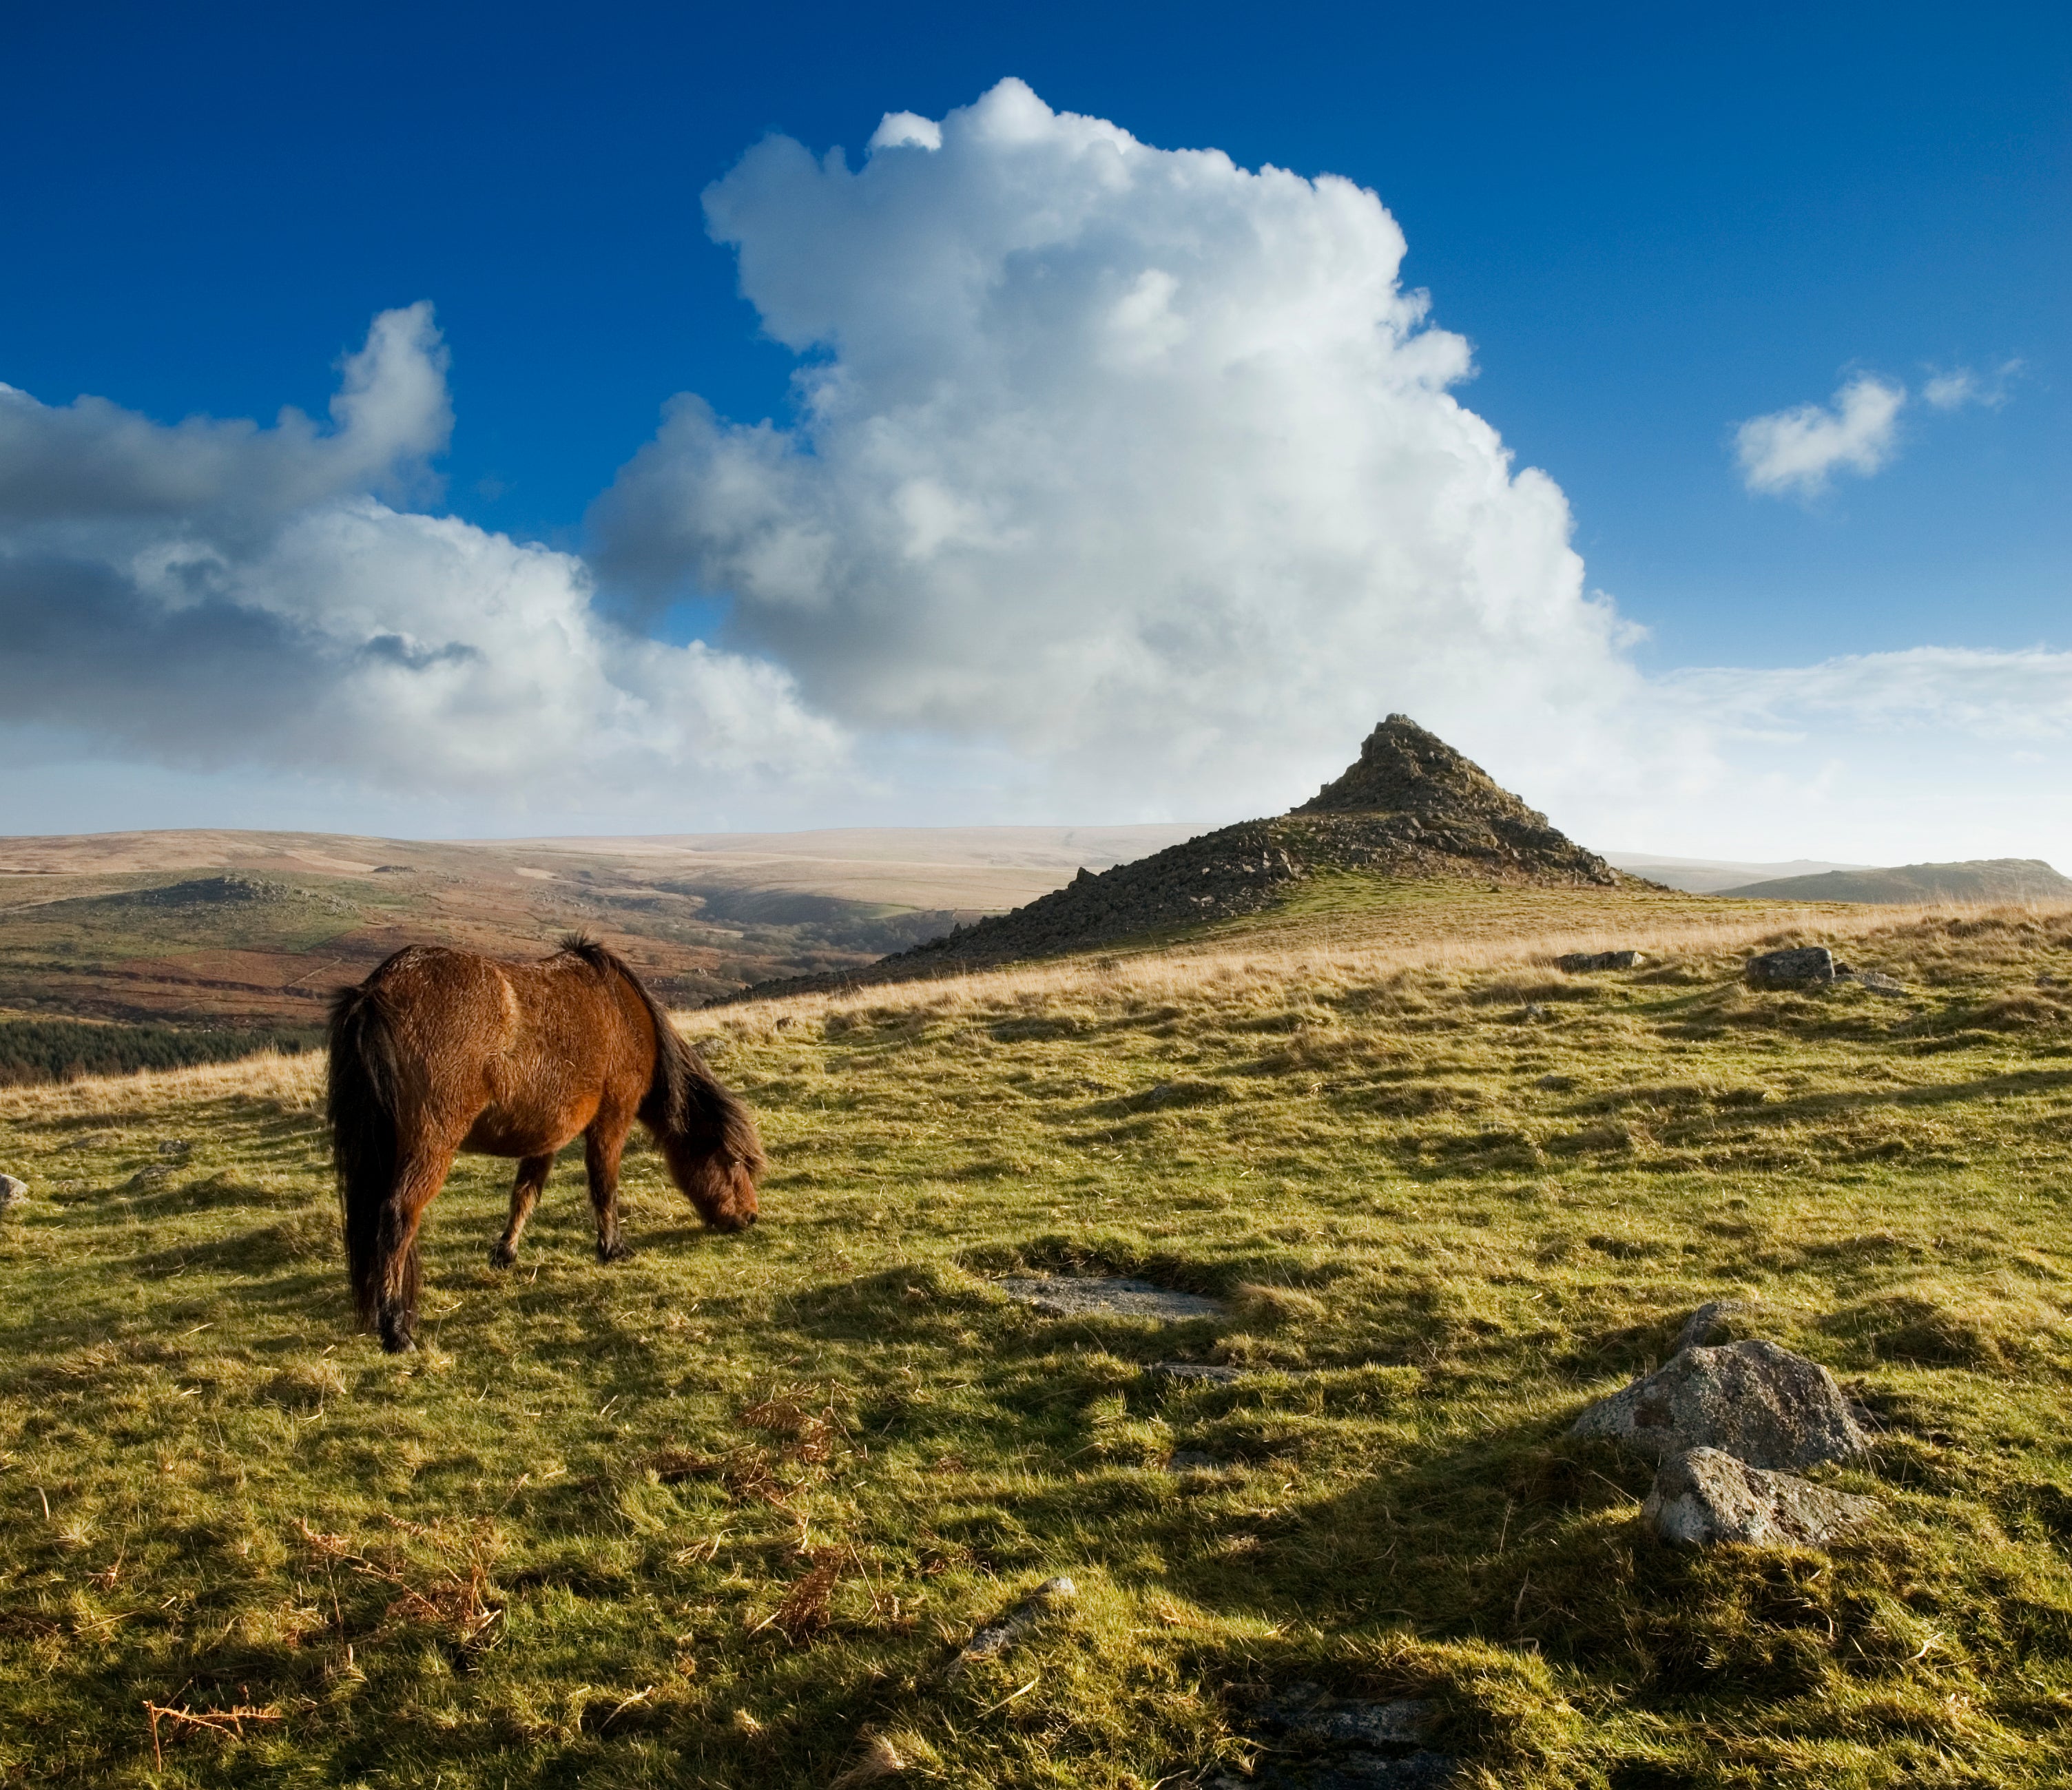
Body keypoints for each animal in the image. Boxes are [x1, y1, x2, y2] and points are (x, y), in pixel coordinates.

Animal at [326, 936, 763, 1352]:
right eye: (734, 1161)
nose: (750, 1217)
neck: (625, 1013)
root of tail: (376, 992)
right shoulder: (611, 1120)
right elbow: (604, 1186)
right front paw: (613, 1248)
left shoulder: (547, 1137)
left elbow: (525, 1194)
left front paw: (505, 1253)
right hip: (431, 1146)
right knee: (397, 1218)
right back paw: (395, 1329)